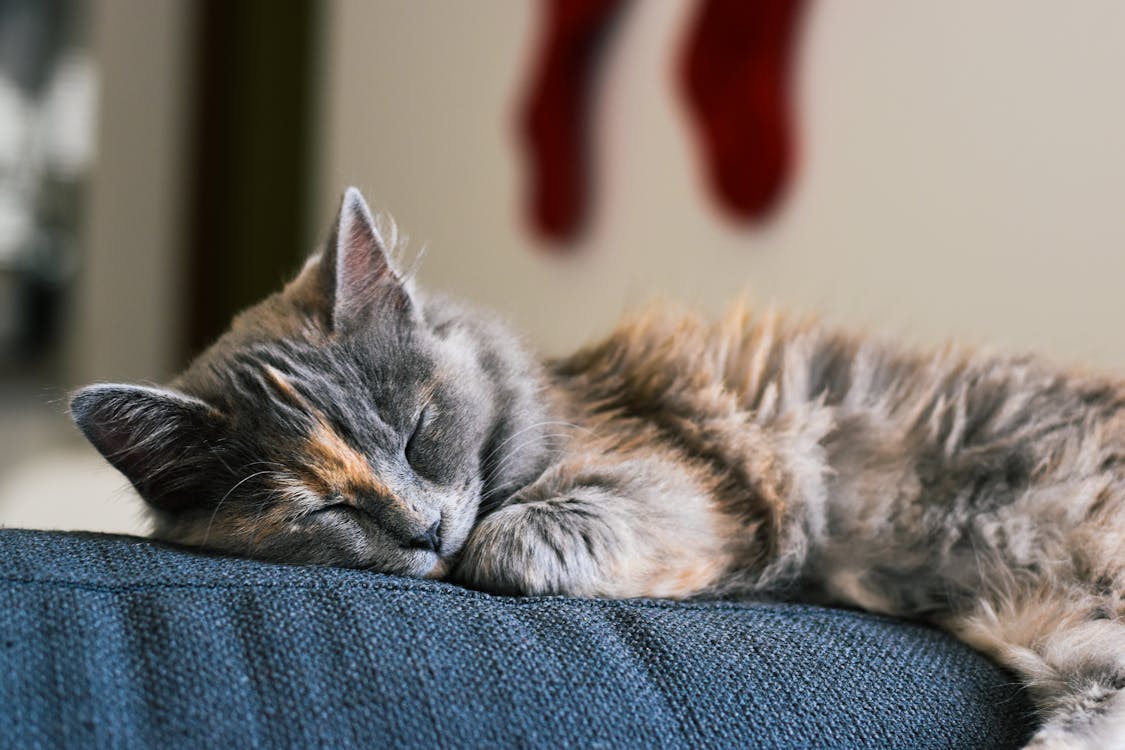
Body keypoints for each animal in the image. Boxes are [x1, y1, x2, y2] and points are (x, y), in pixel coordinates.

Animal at [72, 188, 1125, 750]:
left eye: (417, 433)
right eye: (326, 507)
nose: (423, 528)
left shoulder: (688, 481)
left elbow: (517, 534)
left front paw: (489, 541)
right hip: (1072, 632)